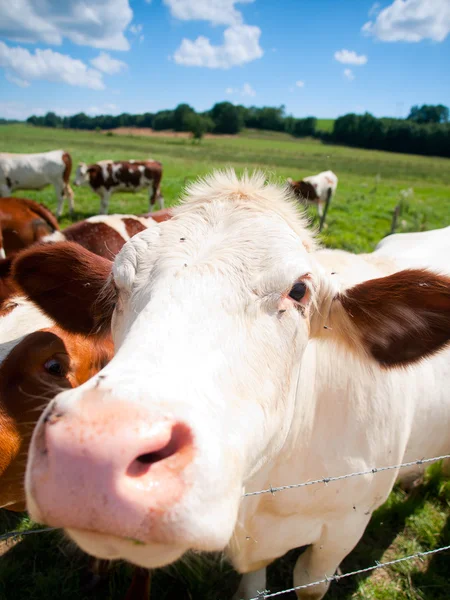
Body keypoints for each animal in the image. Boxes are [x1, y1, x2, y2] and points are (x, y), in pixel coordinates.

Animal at [10, 172, 450, 600]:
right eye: (116, 286)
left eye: (299, 290)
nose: (93, 454)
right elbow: (253, 584)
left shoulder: (344, 528)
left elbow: (311, 583)